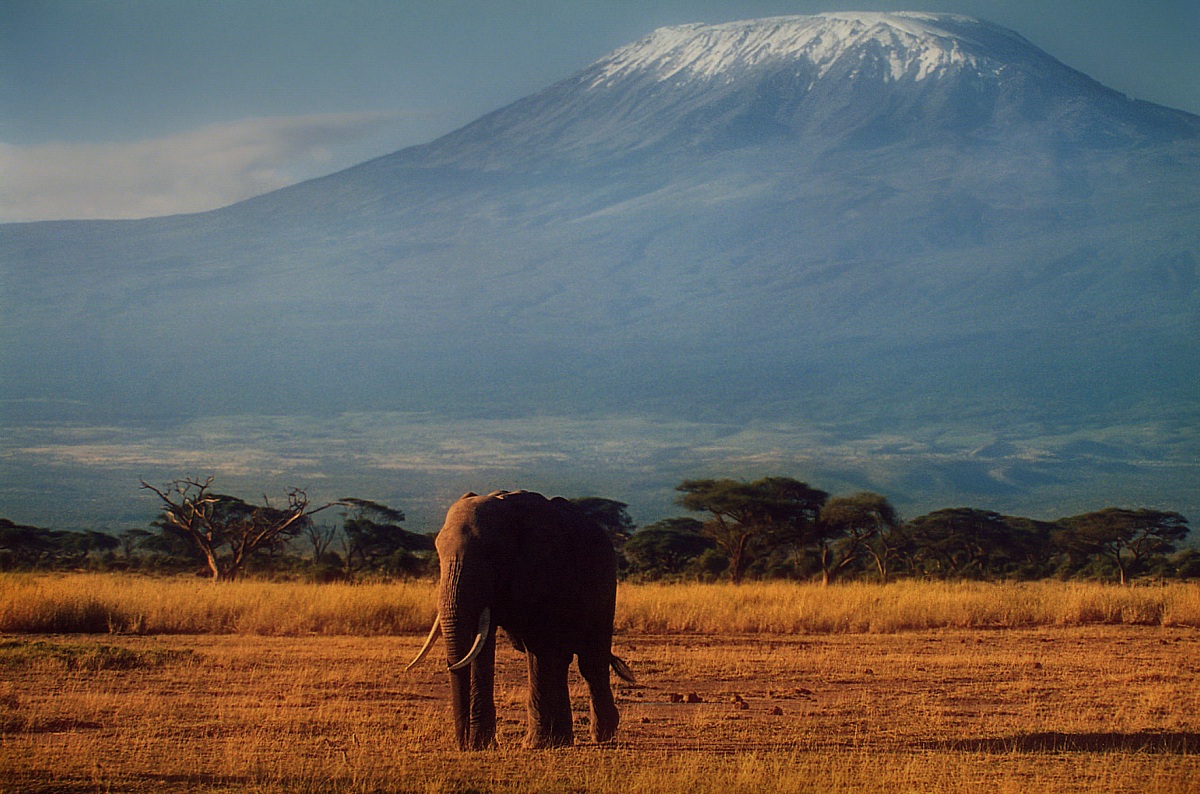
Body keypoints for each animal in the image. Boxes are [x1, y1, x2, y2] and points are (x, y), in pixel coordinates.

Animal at [407, 489, 635, 750]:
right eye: (437, 551)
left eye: (493, 553)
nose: (462, 744)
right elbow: (482, 647)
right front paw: (482, 745)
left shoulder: (543, 568)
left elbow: (539, 648)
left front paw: (533, 744)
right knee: (561, 660)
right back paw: (563, 740)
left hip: (604, 585)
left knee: (589, 660)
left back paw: (600, 736)